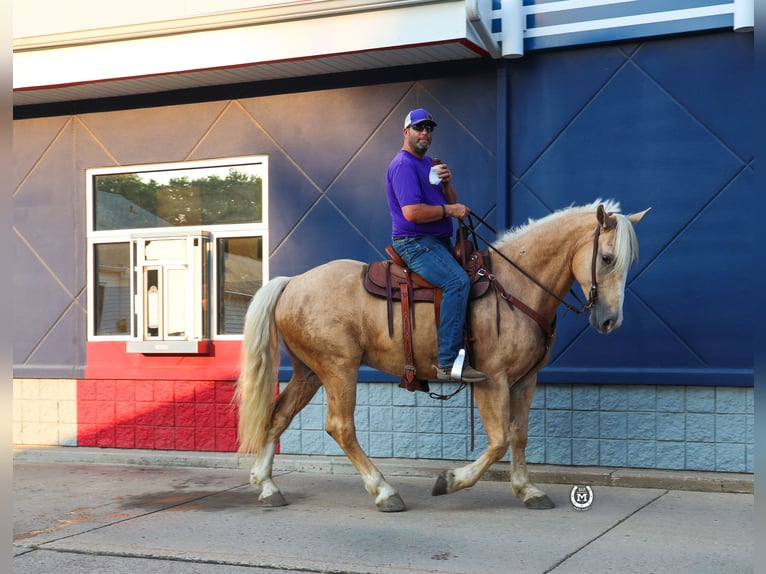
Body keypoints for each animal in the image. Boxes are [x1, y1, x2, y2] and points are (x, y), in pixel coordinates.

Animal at [235, 200, 649, 512]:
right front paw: (450, 480)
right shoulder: (492, 381)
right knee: (340, 426)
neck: (514, 286)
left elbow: (518, 435)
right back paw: (384, 492)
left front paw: (527, 489)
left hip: (309, 371)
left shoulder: (524, 380)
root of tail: (292, 282)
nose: (610, 320)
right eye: (607, 258)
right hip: (339, 368)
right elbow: (498, 439)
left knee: (278, 416)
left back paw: (267, 486)